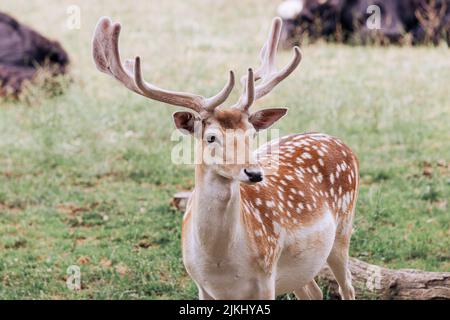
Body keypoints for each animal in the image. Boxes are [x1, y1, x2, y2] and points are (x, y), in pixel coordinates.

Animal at [91, 15, 358, 300]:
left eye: (252, 134)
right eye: (211, 137)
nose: (254, 173)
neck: (220, 266)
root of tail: (343, 144)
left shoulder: (267, 276)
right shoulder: (201, 285)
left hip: (342, 230)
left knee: (348, 287)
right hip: (300, 267)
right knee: (315, 291)